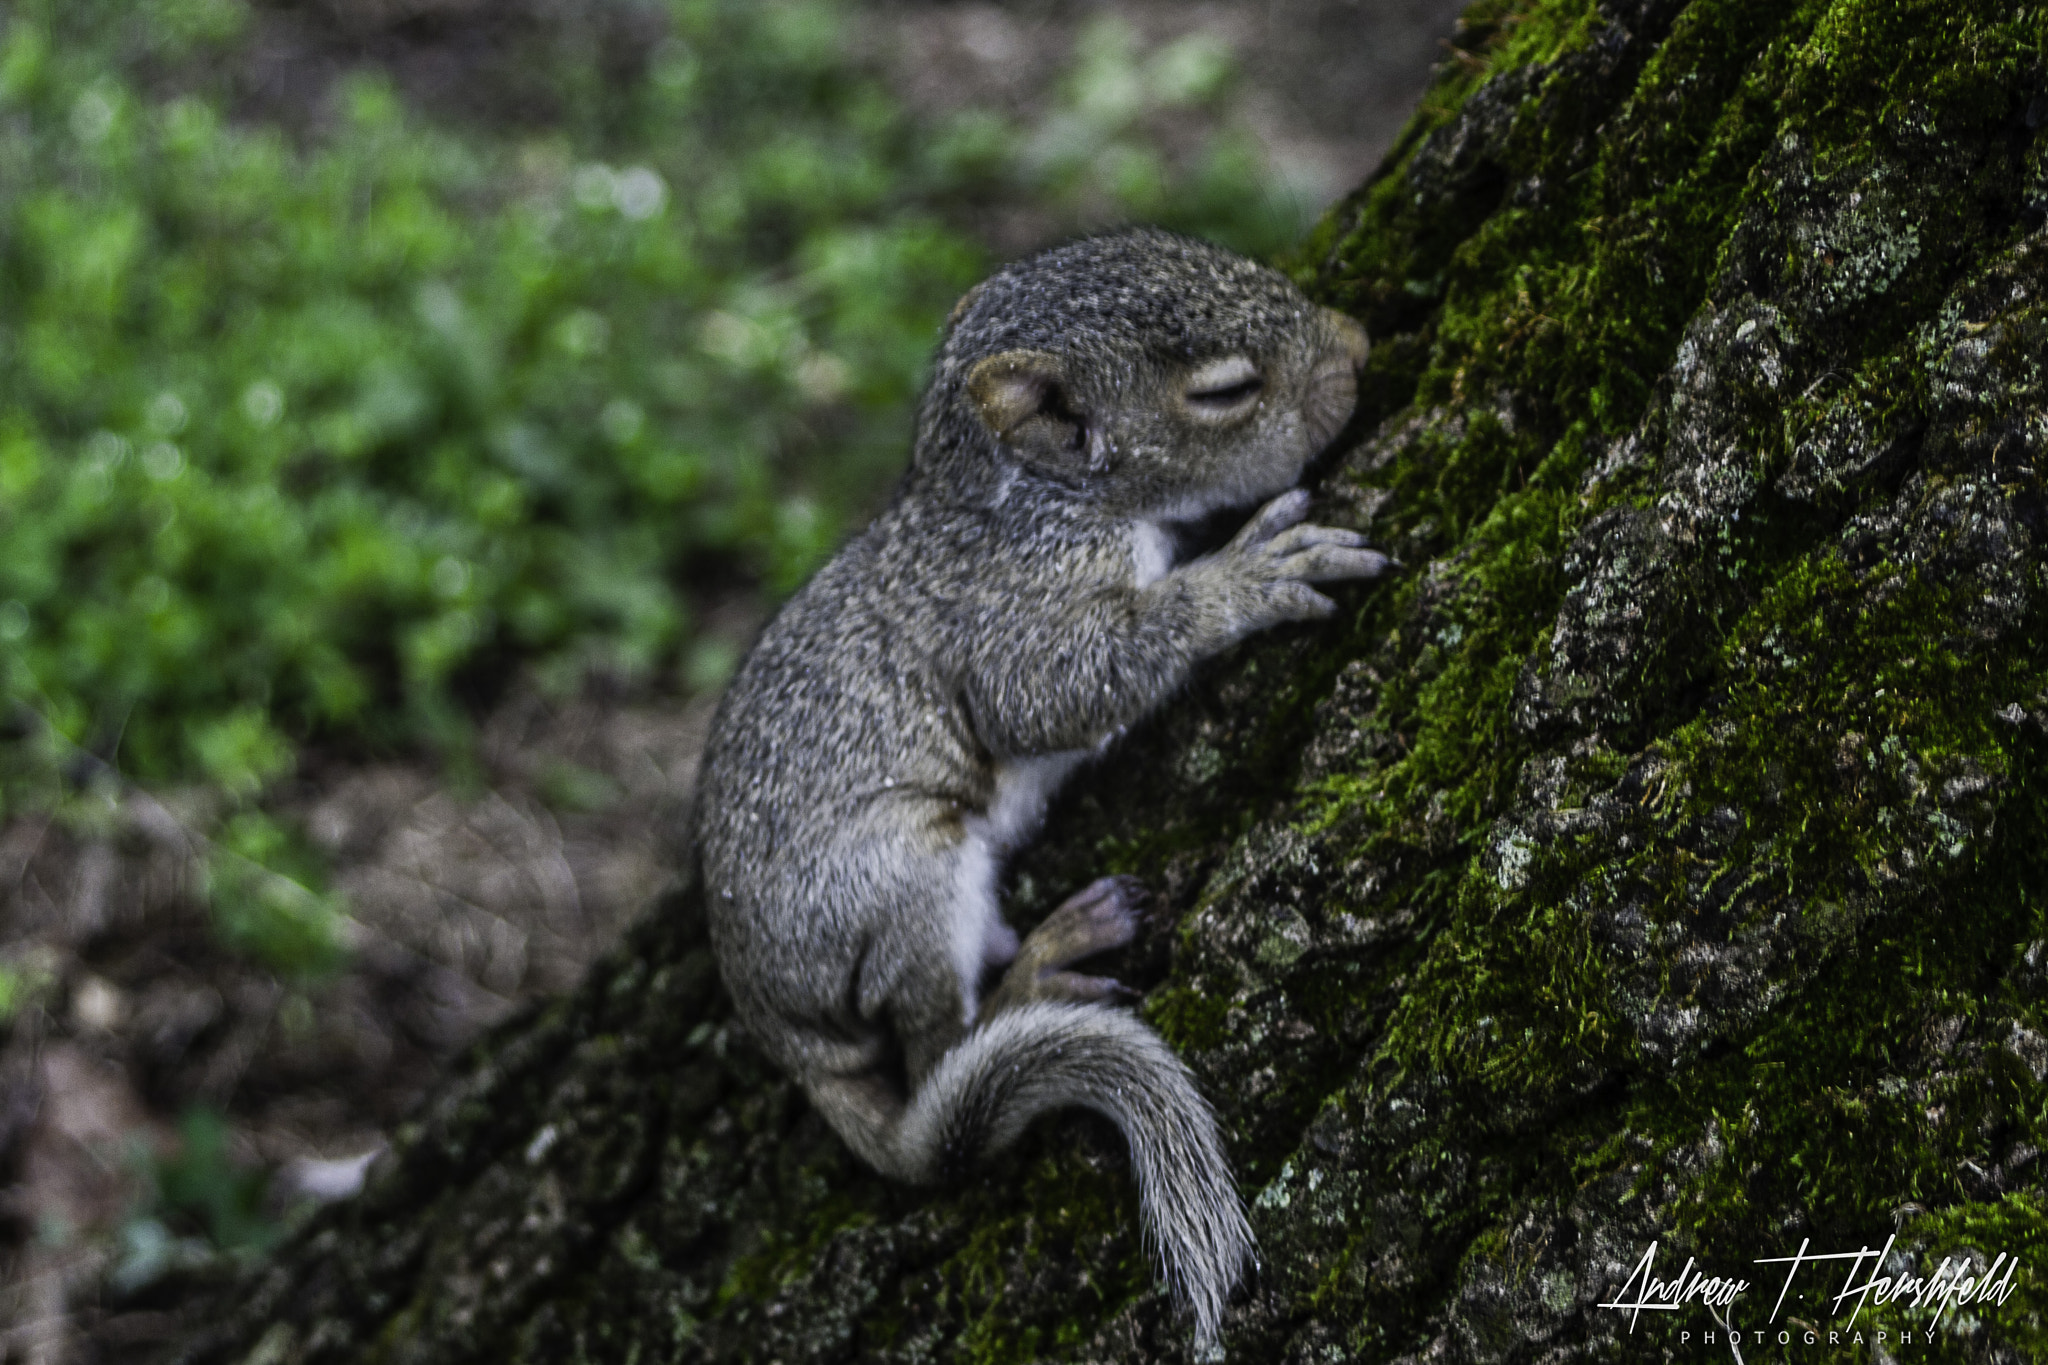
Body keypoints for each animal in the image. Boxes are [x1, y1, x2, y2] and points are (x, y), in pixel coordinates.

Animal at [700, 227, 1392, 1342]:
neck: (1026, 498)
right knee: (936, 1041)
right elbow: (1056, 690)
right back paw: (1035, 974)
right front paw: (1245, 577)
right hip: (898, 876)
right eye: (1225, 391)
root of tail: (790, 1037)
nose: (1359, 344)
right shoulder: (1011, 613)